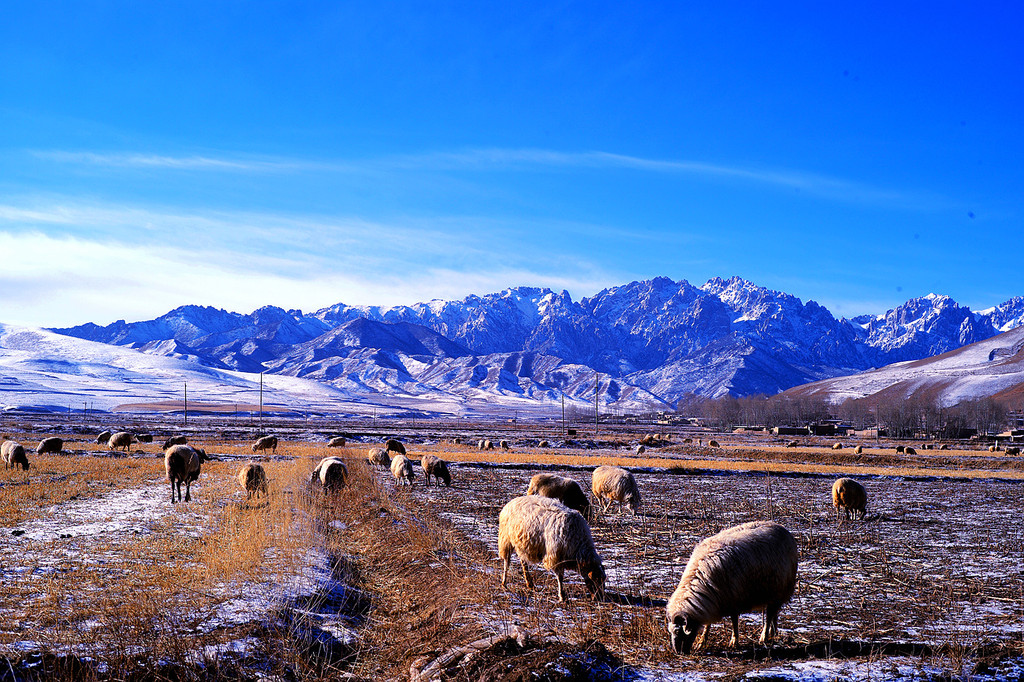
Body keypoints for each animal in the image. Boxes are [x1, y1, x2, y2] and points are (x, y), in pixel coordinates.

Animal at [663, 520, 798, 655]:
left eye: (679, 631)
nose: (678, 652)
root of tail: (783, 529)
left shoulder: (733, 599)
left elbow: (734, 621)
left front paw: (734, 641)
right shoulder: (714, 601)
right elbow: (708, 624)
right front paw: (701, 642)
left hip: (778, 589)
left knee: (770, 615)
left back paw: (763, 637)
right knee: (774, 613)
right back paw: (773, 633)